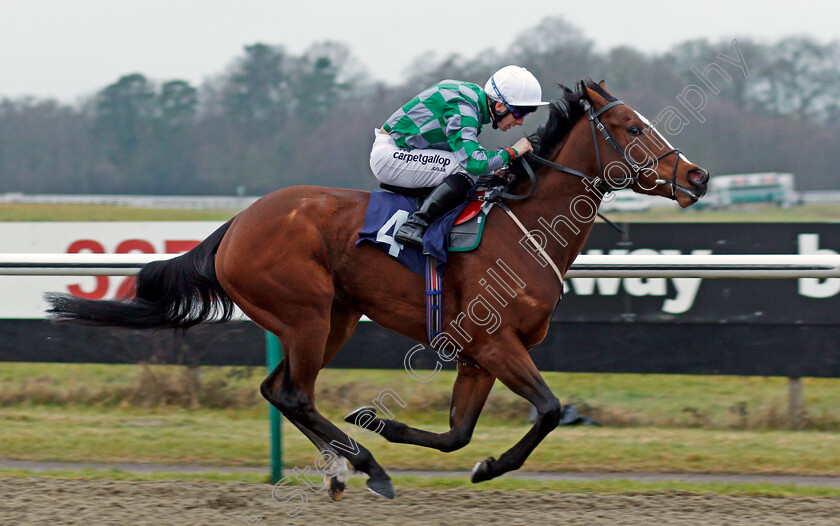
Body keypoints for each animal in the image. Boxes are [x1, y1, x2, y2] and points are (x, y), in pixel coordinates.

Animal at [46, 79, 708, 504]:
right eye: (631, 127)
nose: (697, 176)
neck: (525, 227)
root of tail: (235, 224)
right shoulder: (496, 343)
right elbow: (546, 410)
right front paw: (477, 462)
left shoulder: (478, 354)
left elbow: (460, 433)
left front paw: (420, 438)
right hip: (307, 315)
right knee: (294, 393)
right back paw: (365, 467)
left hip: (332, 318)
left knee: (279, 390)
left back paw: (346, 465)